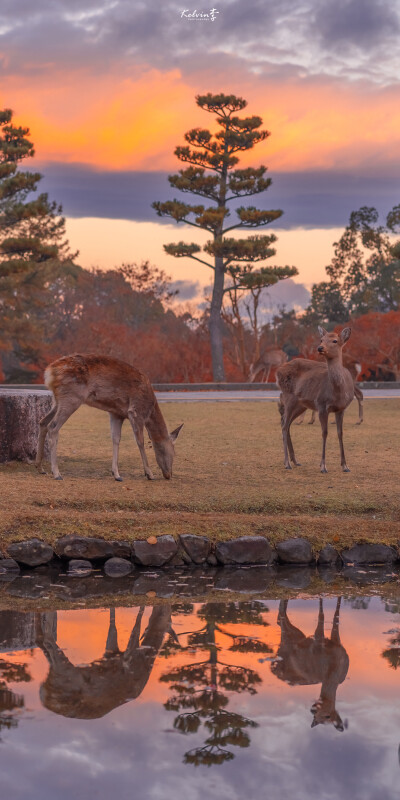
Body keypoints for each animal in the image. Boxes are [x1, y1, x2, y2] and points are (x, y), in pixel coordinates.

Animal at [35, 356, 184, 482]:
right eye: (172, 452)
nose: (169, 475)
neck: (150, 409)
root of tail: (49, 372)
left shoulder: (116, 413)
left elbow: (116, 439)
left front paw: (116, 474)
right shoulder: (135, 411)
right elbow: (140, 441)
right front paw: (149, 474)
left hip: (57, 400)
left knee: (43, 422)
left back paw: (40, 468)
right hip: (71, 398)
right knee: (53, 427)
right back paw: (56, 473)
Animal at [272, 600, 346, 732]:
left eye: (328, 716)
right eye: (316, 717)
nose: (312, 710)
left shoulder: (335, 642)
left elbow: (335, 615)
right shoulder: (319, 640)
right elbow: (321, 616)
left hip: (297, 635)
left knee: (280, 618)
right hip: (289, 642)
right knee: (282, 619)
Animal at [278, 326, 354, 472]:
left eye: (335, 340)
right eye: (321, 339)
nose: (320, 348)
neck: (337, 392)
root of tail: (277, 371)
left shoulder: (341, 408)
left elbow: (340, 433)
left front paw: (345, 466)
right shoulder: (321, 405)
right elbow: (324, 432)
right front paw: (323, 466)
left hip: (301, 404)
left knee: (287, 423)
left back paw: (295, 461)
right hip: (288, 396)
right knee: (284, 425)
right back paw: (287, 463)